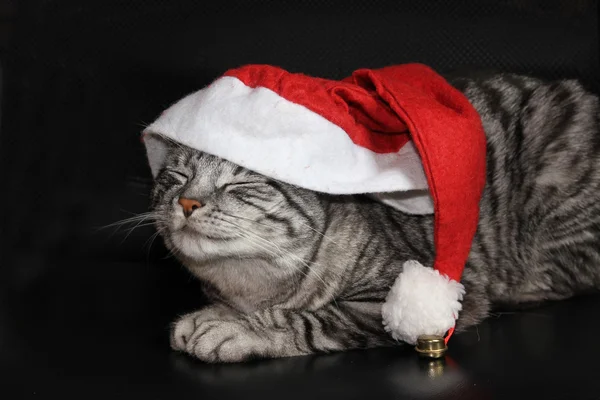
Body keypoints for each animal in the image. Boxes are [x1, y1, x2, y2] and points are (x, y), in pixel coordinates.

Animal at [148, 72, 600, 362]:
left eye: (240, 181)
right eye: (177, 176)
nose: (188, 202)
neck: (255, 287)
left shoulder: (390, 297)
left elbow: (310, 318)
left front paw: (238, 328)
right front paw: (215, 314)